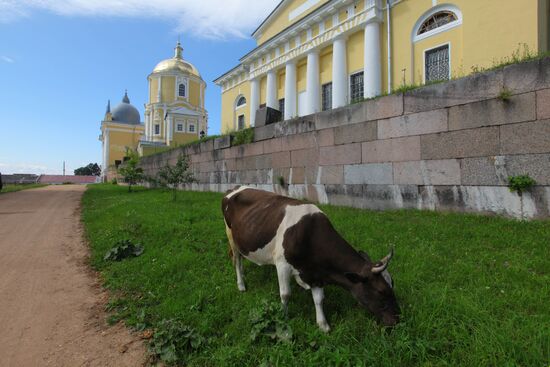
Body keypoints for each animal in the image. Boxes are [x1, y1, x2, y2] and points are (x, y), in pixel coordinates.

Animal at [223, 185, 402, 332]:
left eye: (392, 284)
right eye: (381, 291)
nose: (397, 320)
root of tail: (235, 188)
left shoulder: (317, 273)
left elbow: (319, 299)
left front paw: (323, 325)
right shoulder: (282, 264)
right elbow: (285, 294)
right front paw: (283, 317)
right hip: (232, 237)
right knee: (237, 261)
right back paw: (241, 285)